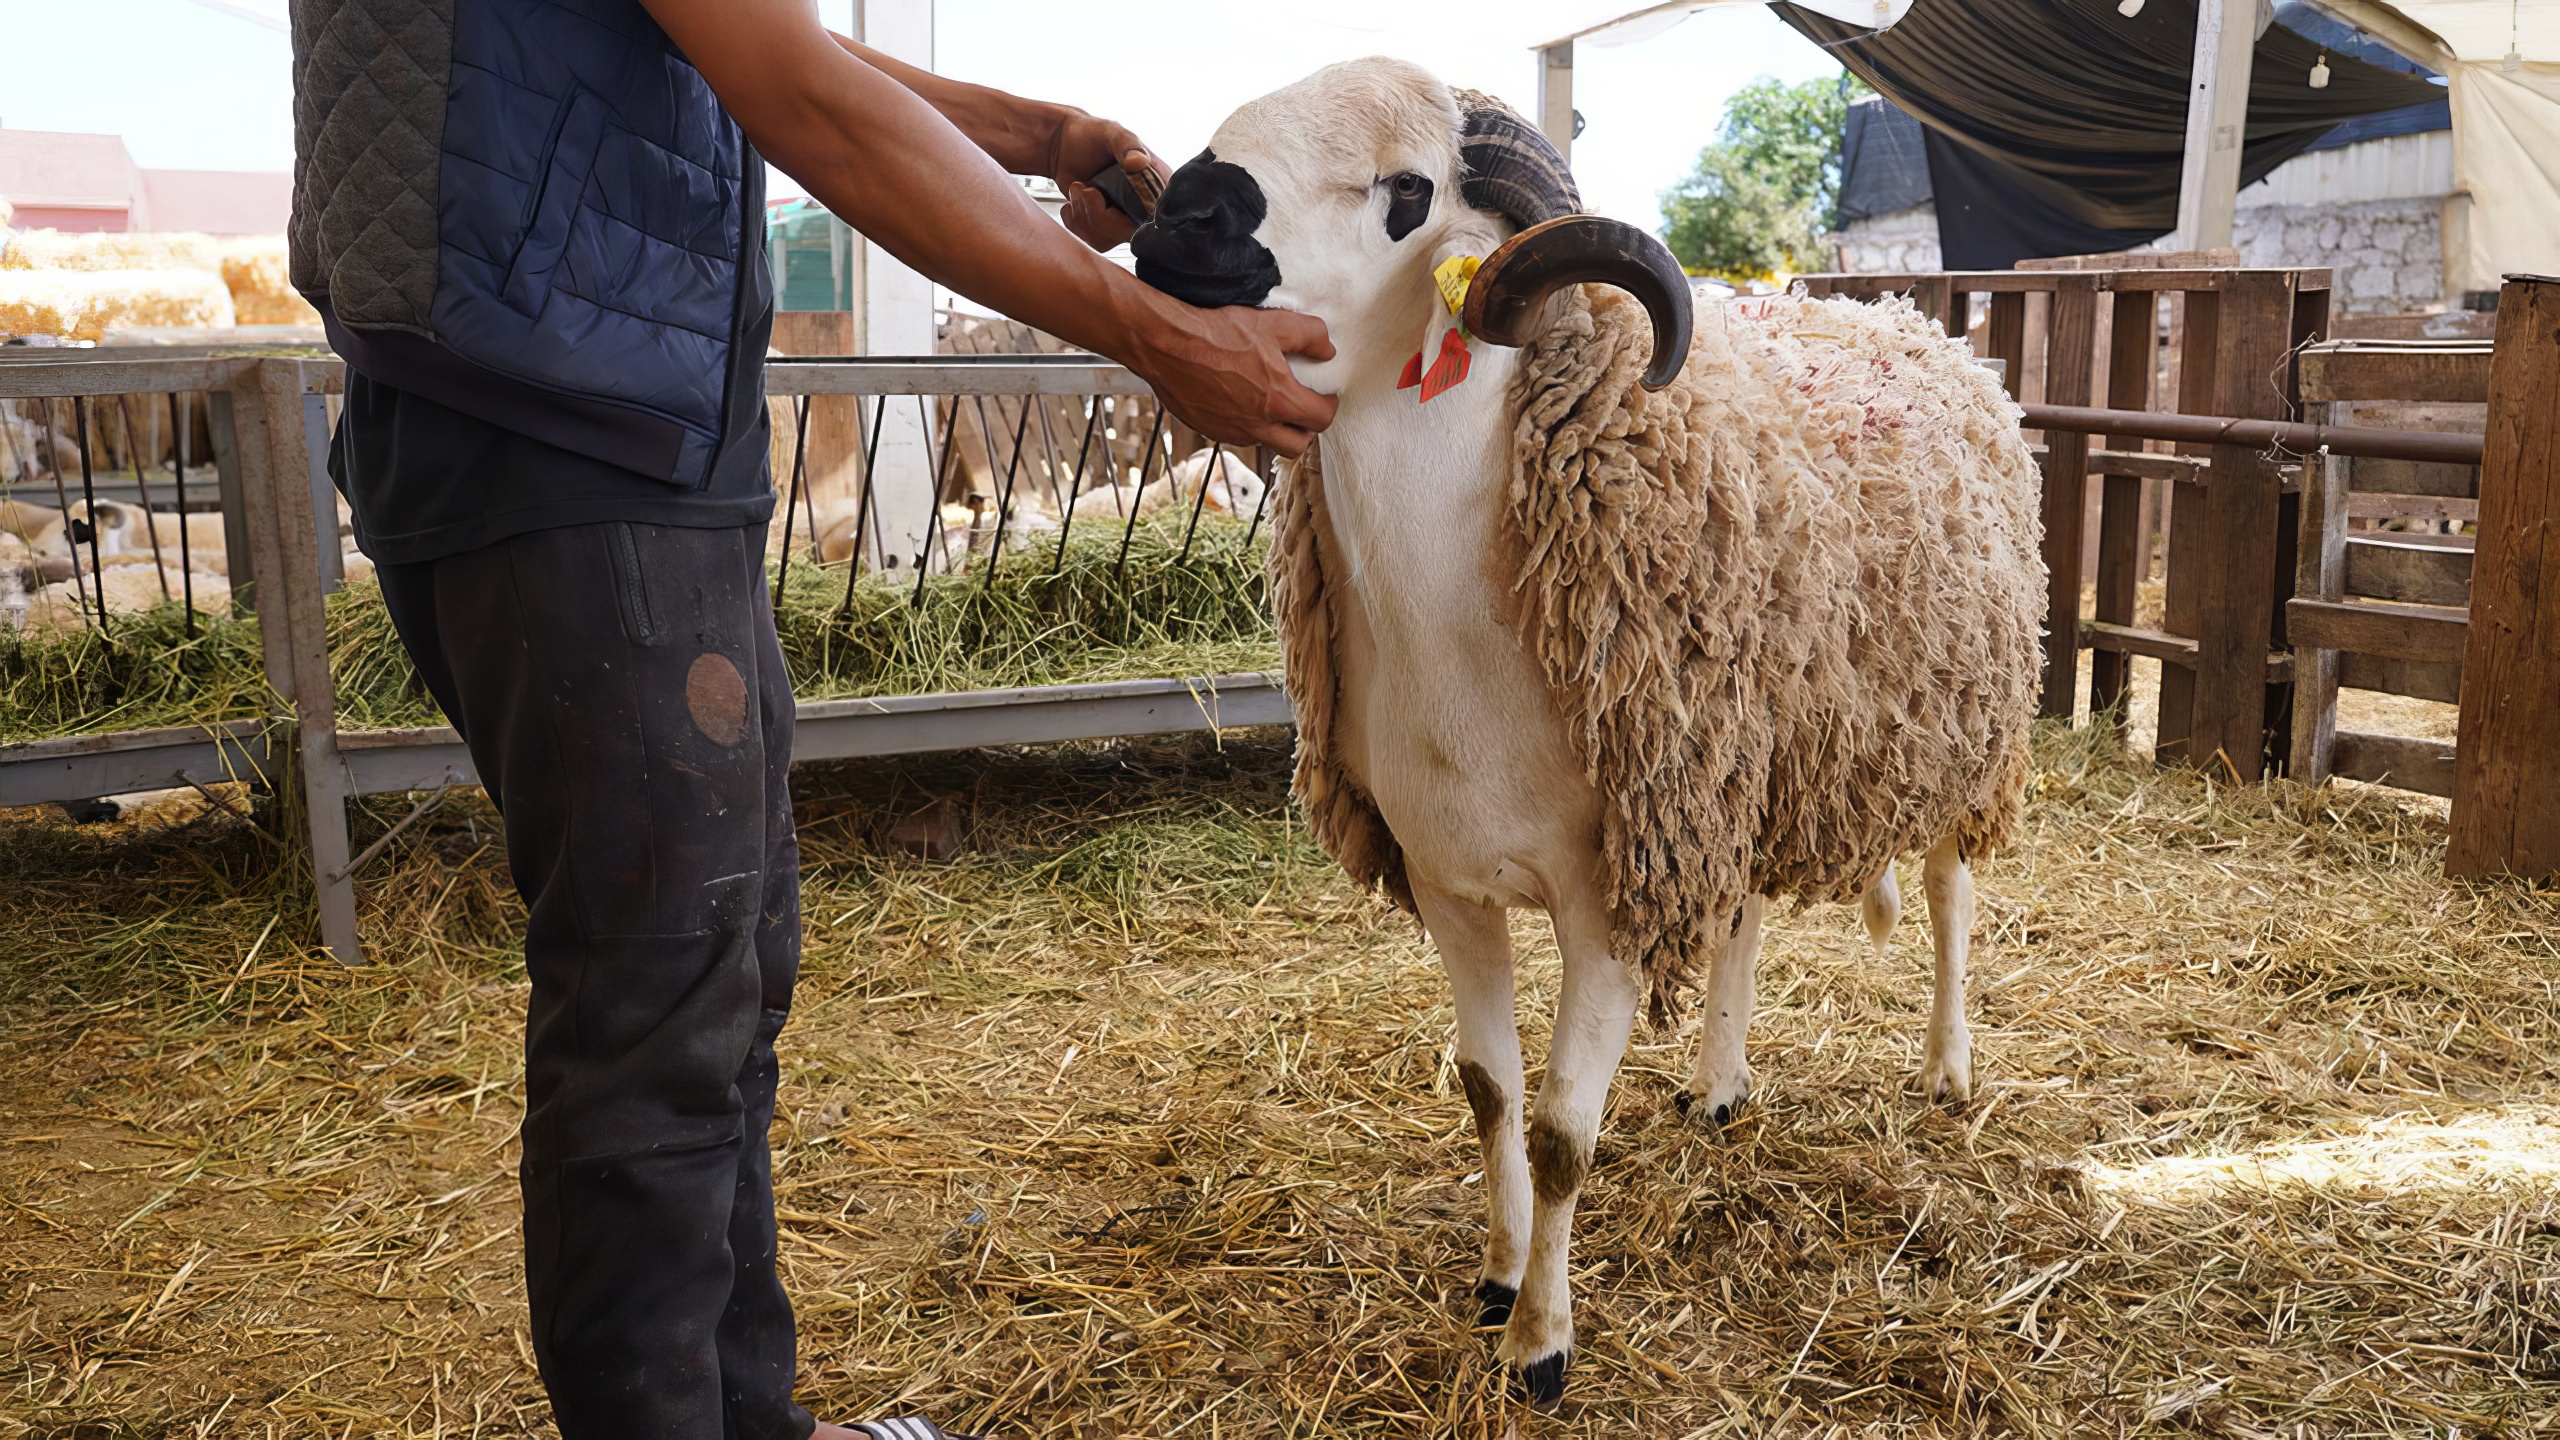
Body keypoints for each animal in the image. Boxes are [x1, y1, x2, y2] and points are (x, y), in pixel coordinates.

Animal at [1136, 58, 2037, 1404]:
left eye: (1407, 192)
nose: (1171, 219)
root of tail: (1912, 323)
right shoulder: (1456, 877)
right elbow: (1488, 1094)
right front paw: (1498, 1276)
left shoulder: (1608, 893)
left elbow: (1562, 1132)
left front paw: (1540, 1347)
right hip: (1722, 769)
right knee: (1744, 915)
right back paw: (1718, 1087)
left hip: (1954, 737)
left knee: (1947, 899)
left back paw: (1944, 1067)